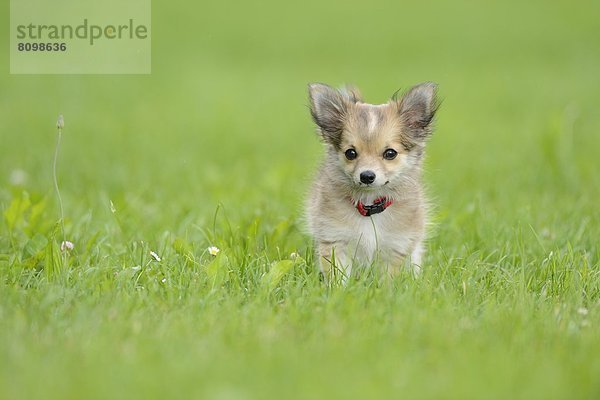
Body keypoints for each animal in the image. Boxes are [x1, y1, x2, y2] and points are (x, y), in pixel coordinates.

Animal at [308, 82, 438, 282]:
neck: (369, 207)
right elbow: (338, 275)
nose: (367, 176)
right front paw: (338, 289)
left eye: (390, 153)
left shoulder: (396, 245)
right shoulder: (335, 239)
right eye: (350, 153)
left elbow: (387, 280)